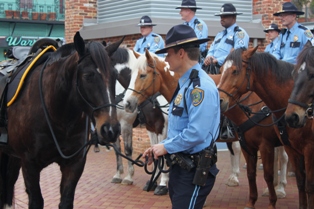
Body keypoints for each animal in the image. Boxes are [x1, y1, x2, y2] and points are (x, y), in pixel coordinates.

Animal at [0, 31, 121, 208]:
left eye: (115, 76)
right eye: (88, 76)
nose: (111, 129)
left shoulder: (74, 164)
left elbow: (66, 200)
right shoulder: (29, 164)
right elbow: (36, 200)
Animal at [217, 47, 314, 209]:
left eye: (235, 71)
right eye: (221, 70)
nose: (219, 100)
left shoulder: (267, 145)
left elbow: (268, 175)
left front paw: (272, 202)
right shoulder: (247, 145)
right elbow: (251, 174)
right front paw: (251, 201)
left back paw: (280, 189)